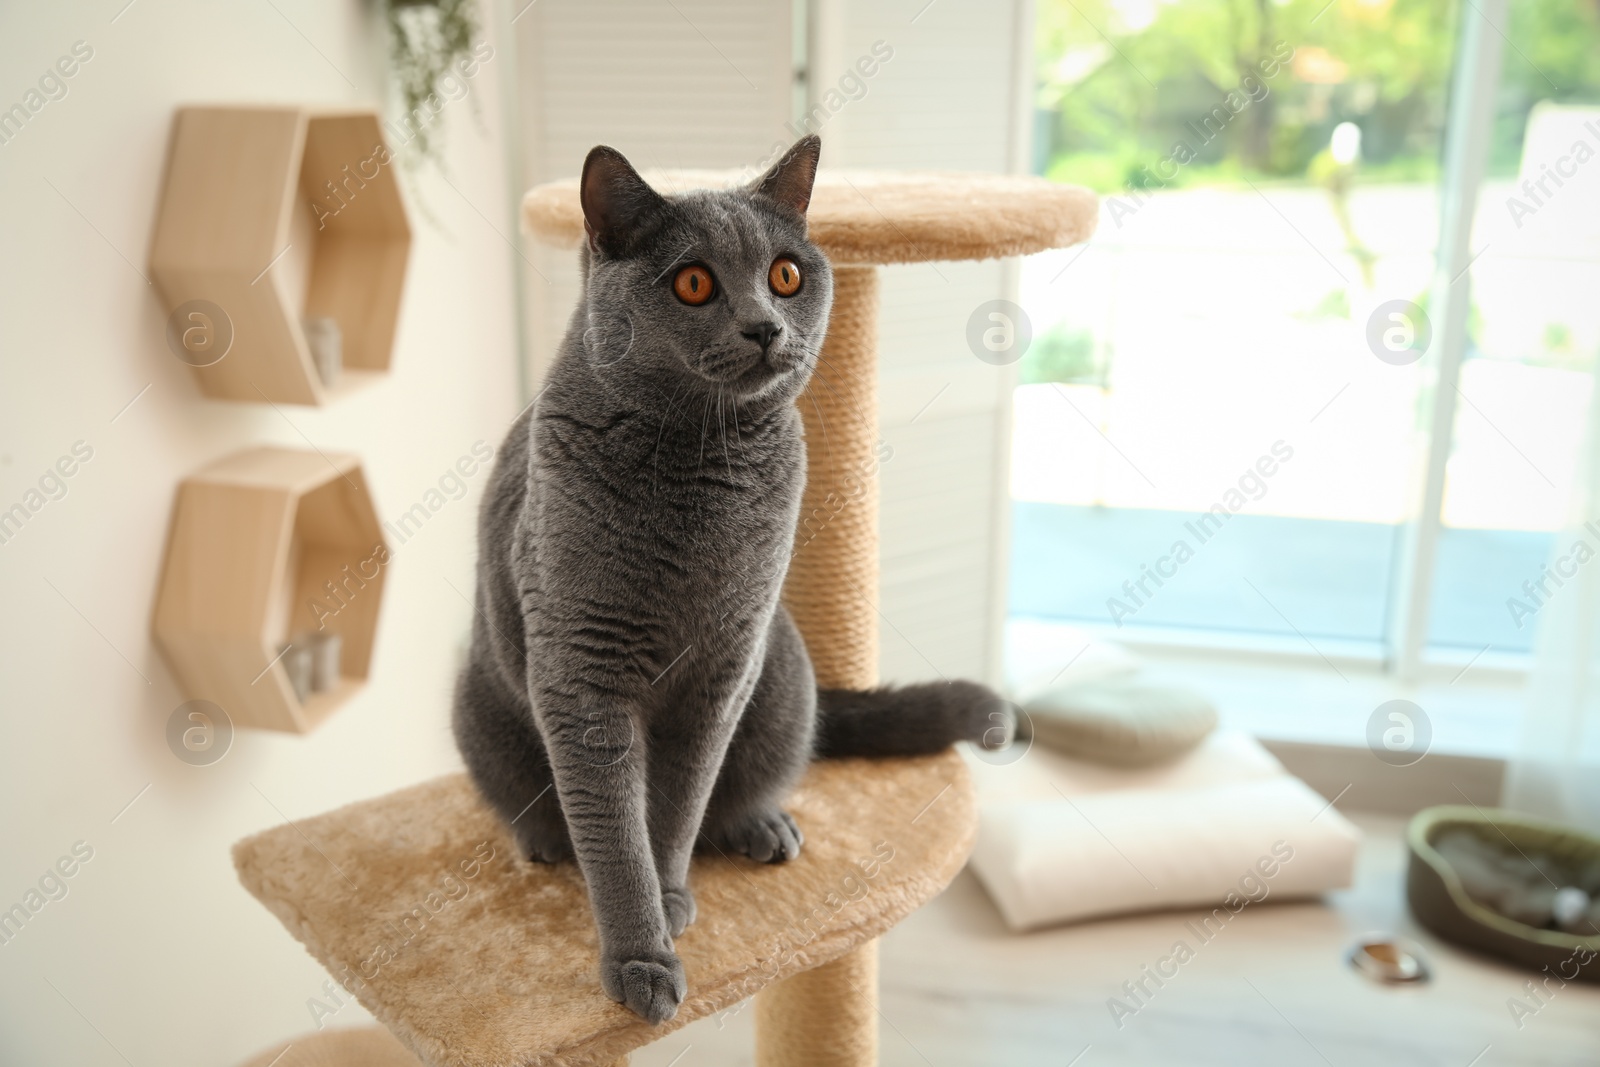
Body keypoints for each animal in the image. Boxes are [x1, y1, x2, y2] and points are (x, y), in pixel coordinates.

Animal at [451, 137, 1004, 1023]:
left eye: (785, 274)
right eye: (693, 283)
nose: (764, 326)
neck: (699, 468)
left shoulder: (723, 667)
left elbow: (676, 806)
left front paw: (671, 900)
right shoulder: (581, 671)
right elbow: (615, 829)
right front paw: (640, 958)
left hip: (784, 673)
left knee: (737, 793)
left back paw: (761, 828)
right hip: (479, 698)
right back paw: (543, 841)